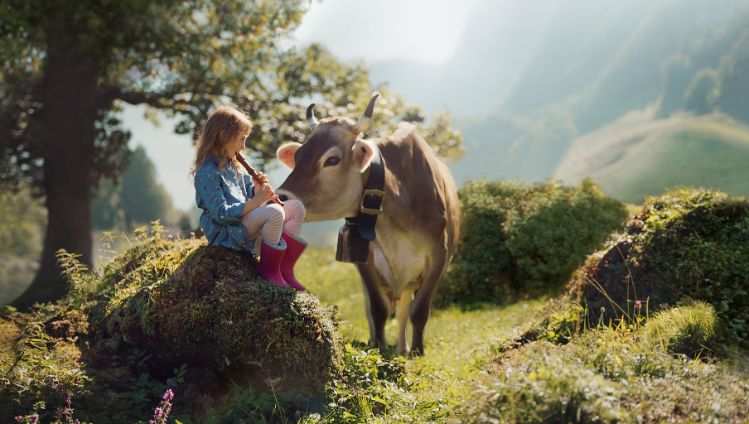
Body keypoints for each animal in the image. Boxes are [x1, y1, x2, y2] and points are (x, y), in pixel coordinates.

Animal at [276, 93, 458, 354]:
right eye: (298, 157)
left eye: (332, 159)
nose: (280, 197)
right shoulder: (363, 258)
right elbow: (377, 308)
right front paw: (378, 347)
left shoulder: (438, 257)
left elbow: (419, 311)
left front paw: (417, 351)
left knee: (403, 311)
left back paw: (403, 348)